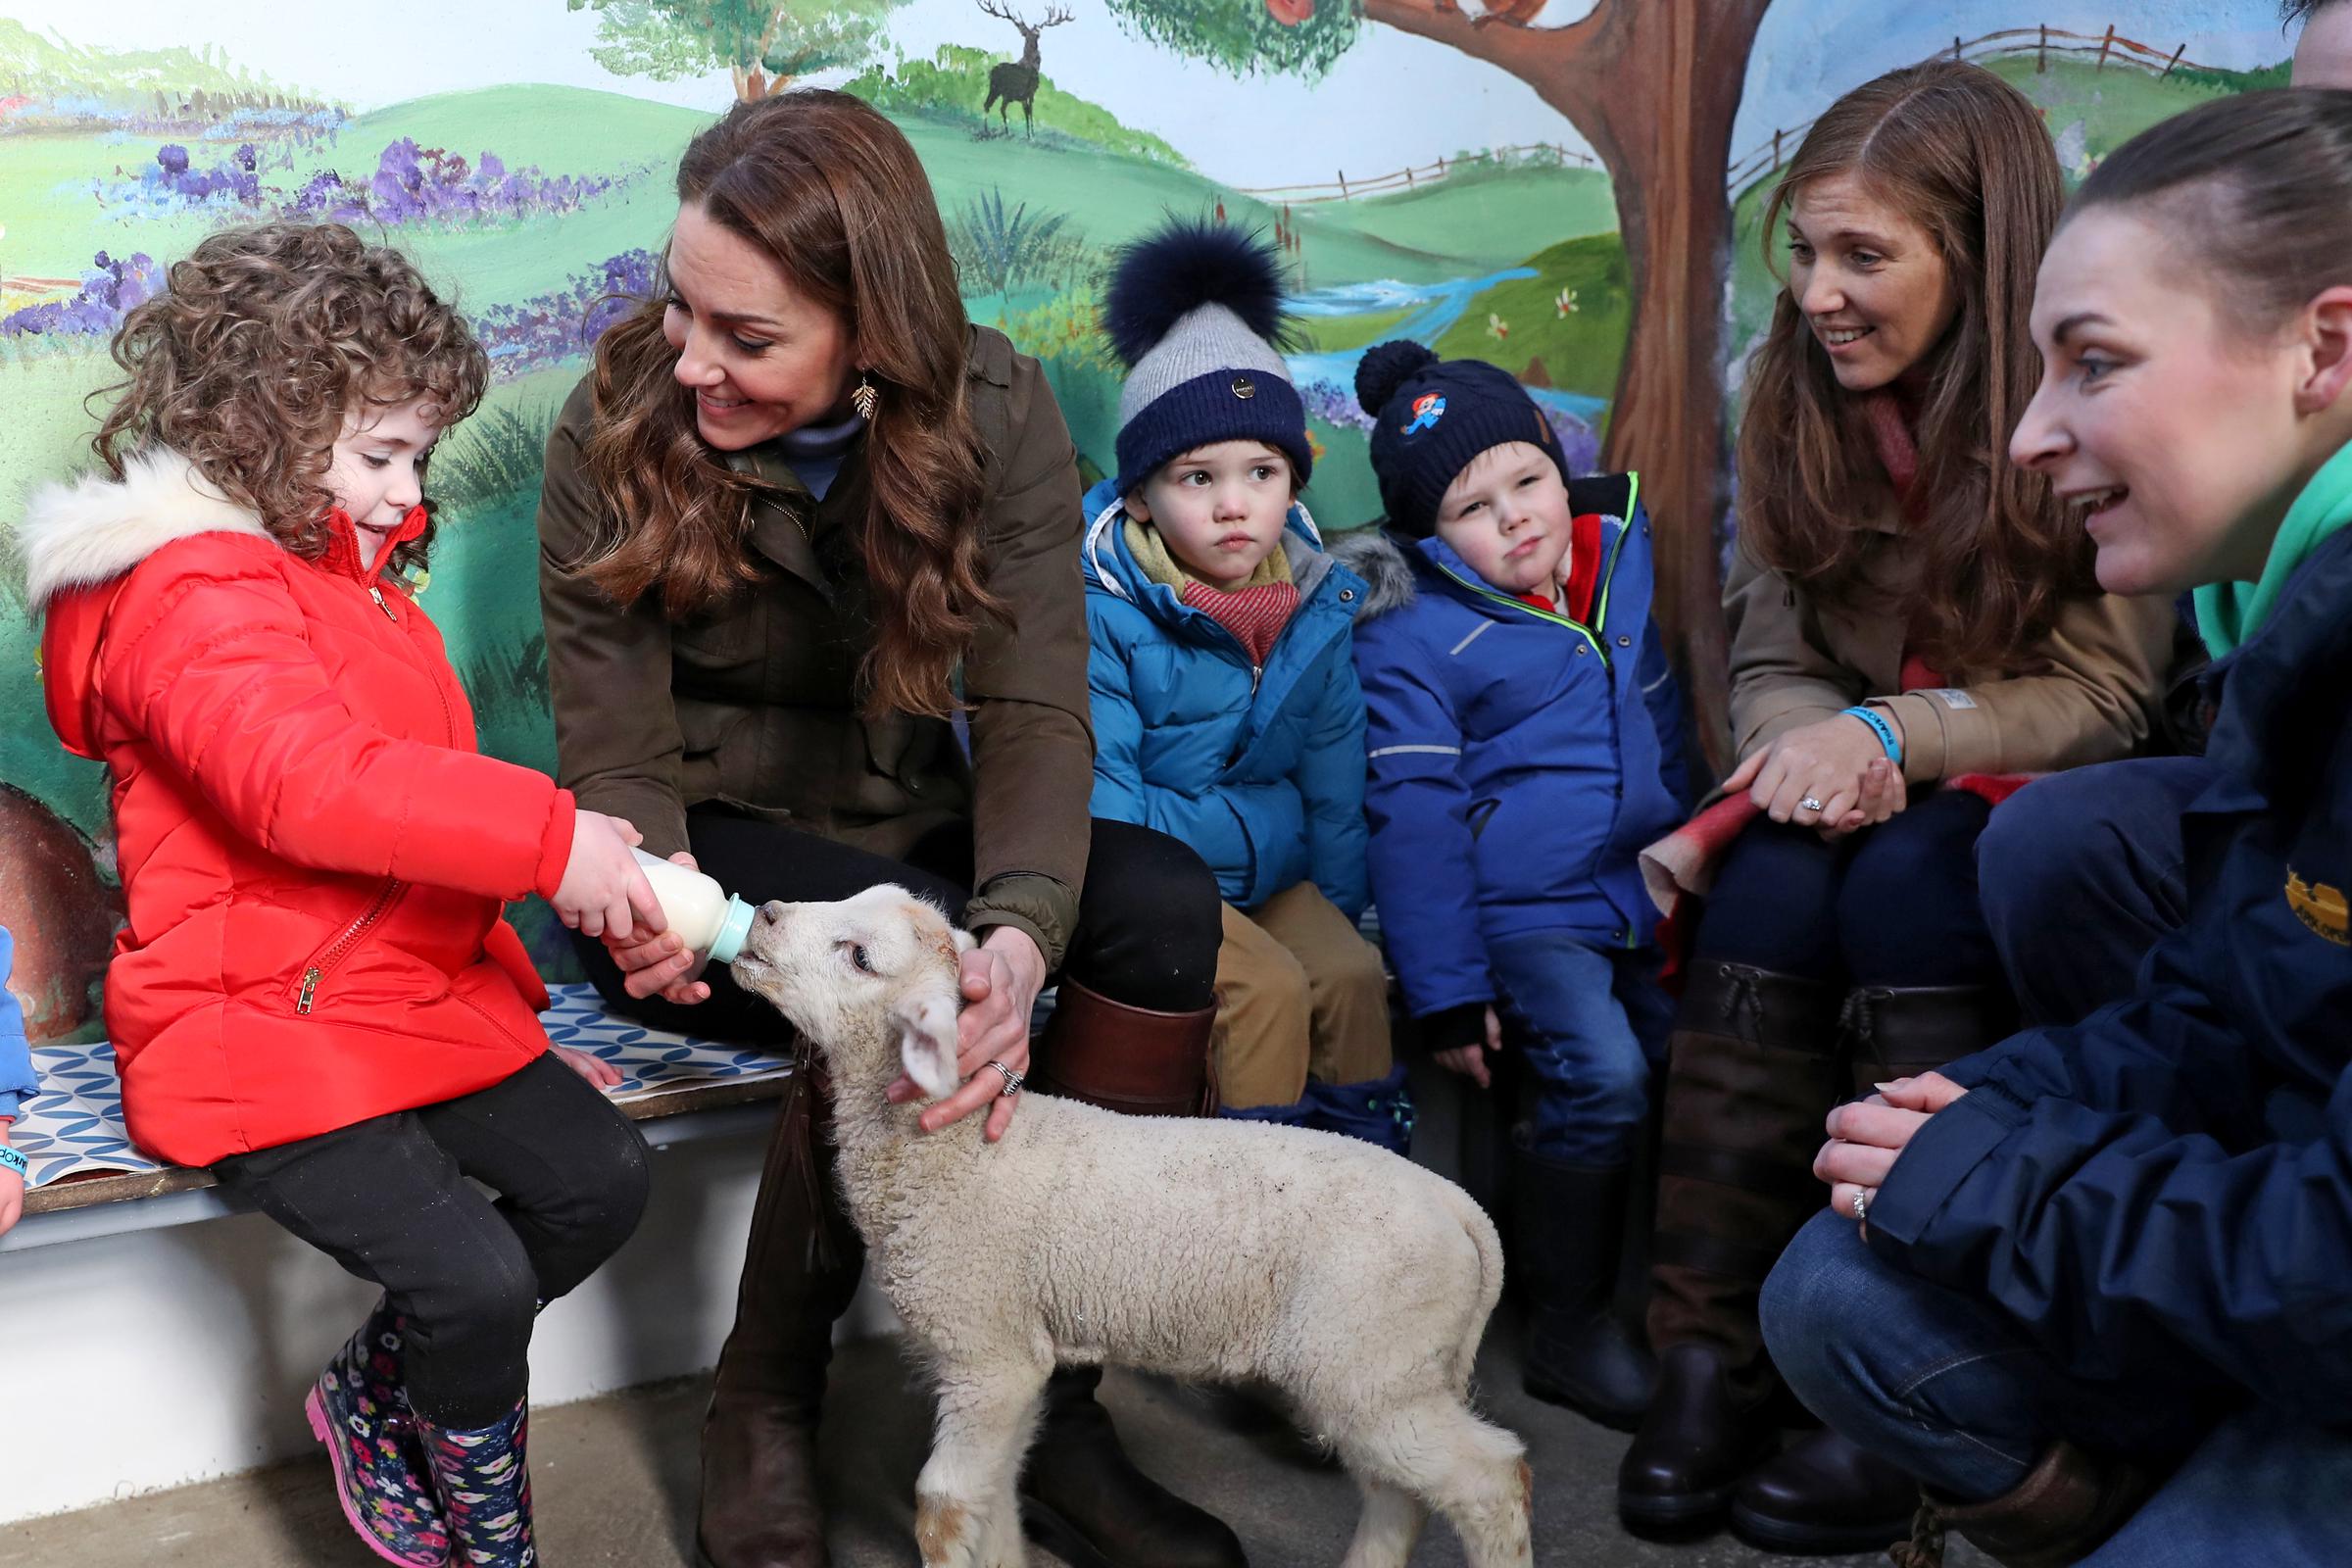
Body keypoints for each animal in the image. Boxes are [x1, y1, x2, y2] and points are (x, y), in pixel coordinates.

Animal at [733, 883, 1543, 1568]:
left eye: (860, 957)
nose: (766, 912)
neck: (955, 1152)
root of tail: (1459, 1208)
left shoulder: (984, 1352)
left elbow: (945, 1506)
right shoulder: (1012, 1357)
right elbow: (994, 1501)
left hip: (1372, 1358)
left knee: (1491, 1478)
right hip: (1386, 1368)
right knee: (1398, 1491)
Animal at [978, 0, 1077, 139]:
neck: (1032, 64)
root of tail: (992, 72)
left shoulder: (1022, 96)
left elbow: (1026, 112)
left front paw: (1029, 134)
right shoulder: (1031, 92)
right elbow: (1030, 112)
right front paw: (1032, 135)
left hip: (995, 89)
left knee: (988, 105)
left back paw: (988, 130)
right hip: (1005, 91)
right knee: (999, 108)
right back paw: (1005, 132)